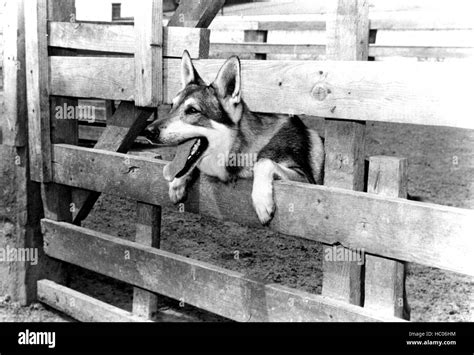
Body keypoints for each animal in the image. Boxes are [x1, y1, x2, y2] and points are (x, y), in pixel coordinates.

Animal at [143, 49, 324, 225]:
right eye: (172, 106)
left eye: (193, 110)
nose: (148, 131)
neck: (238, 148)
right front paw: (177, 182)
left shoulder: (305, 180)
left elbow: (263, 162)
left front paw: (261, 201)